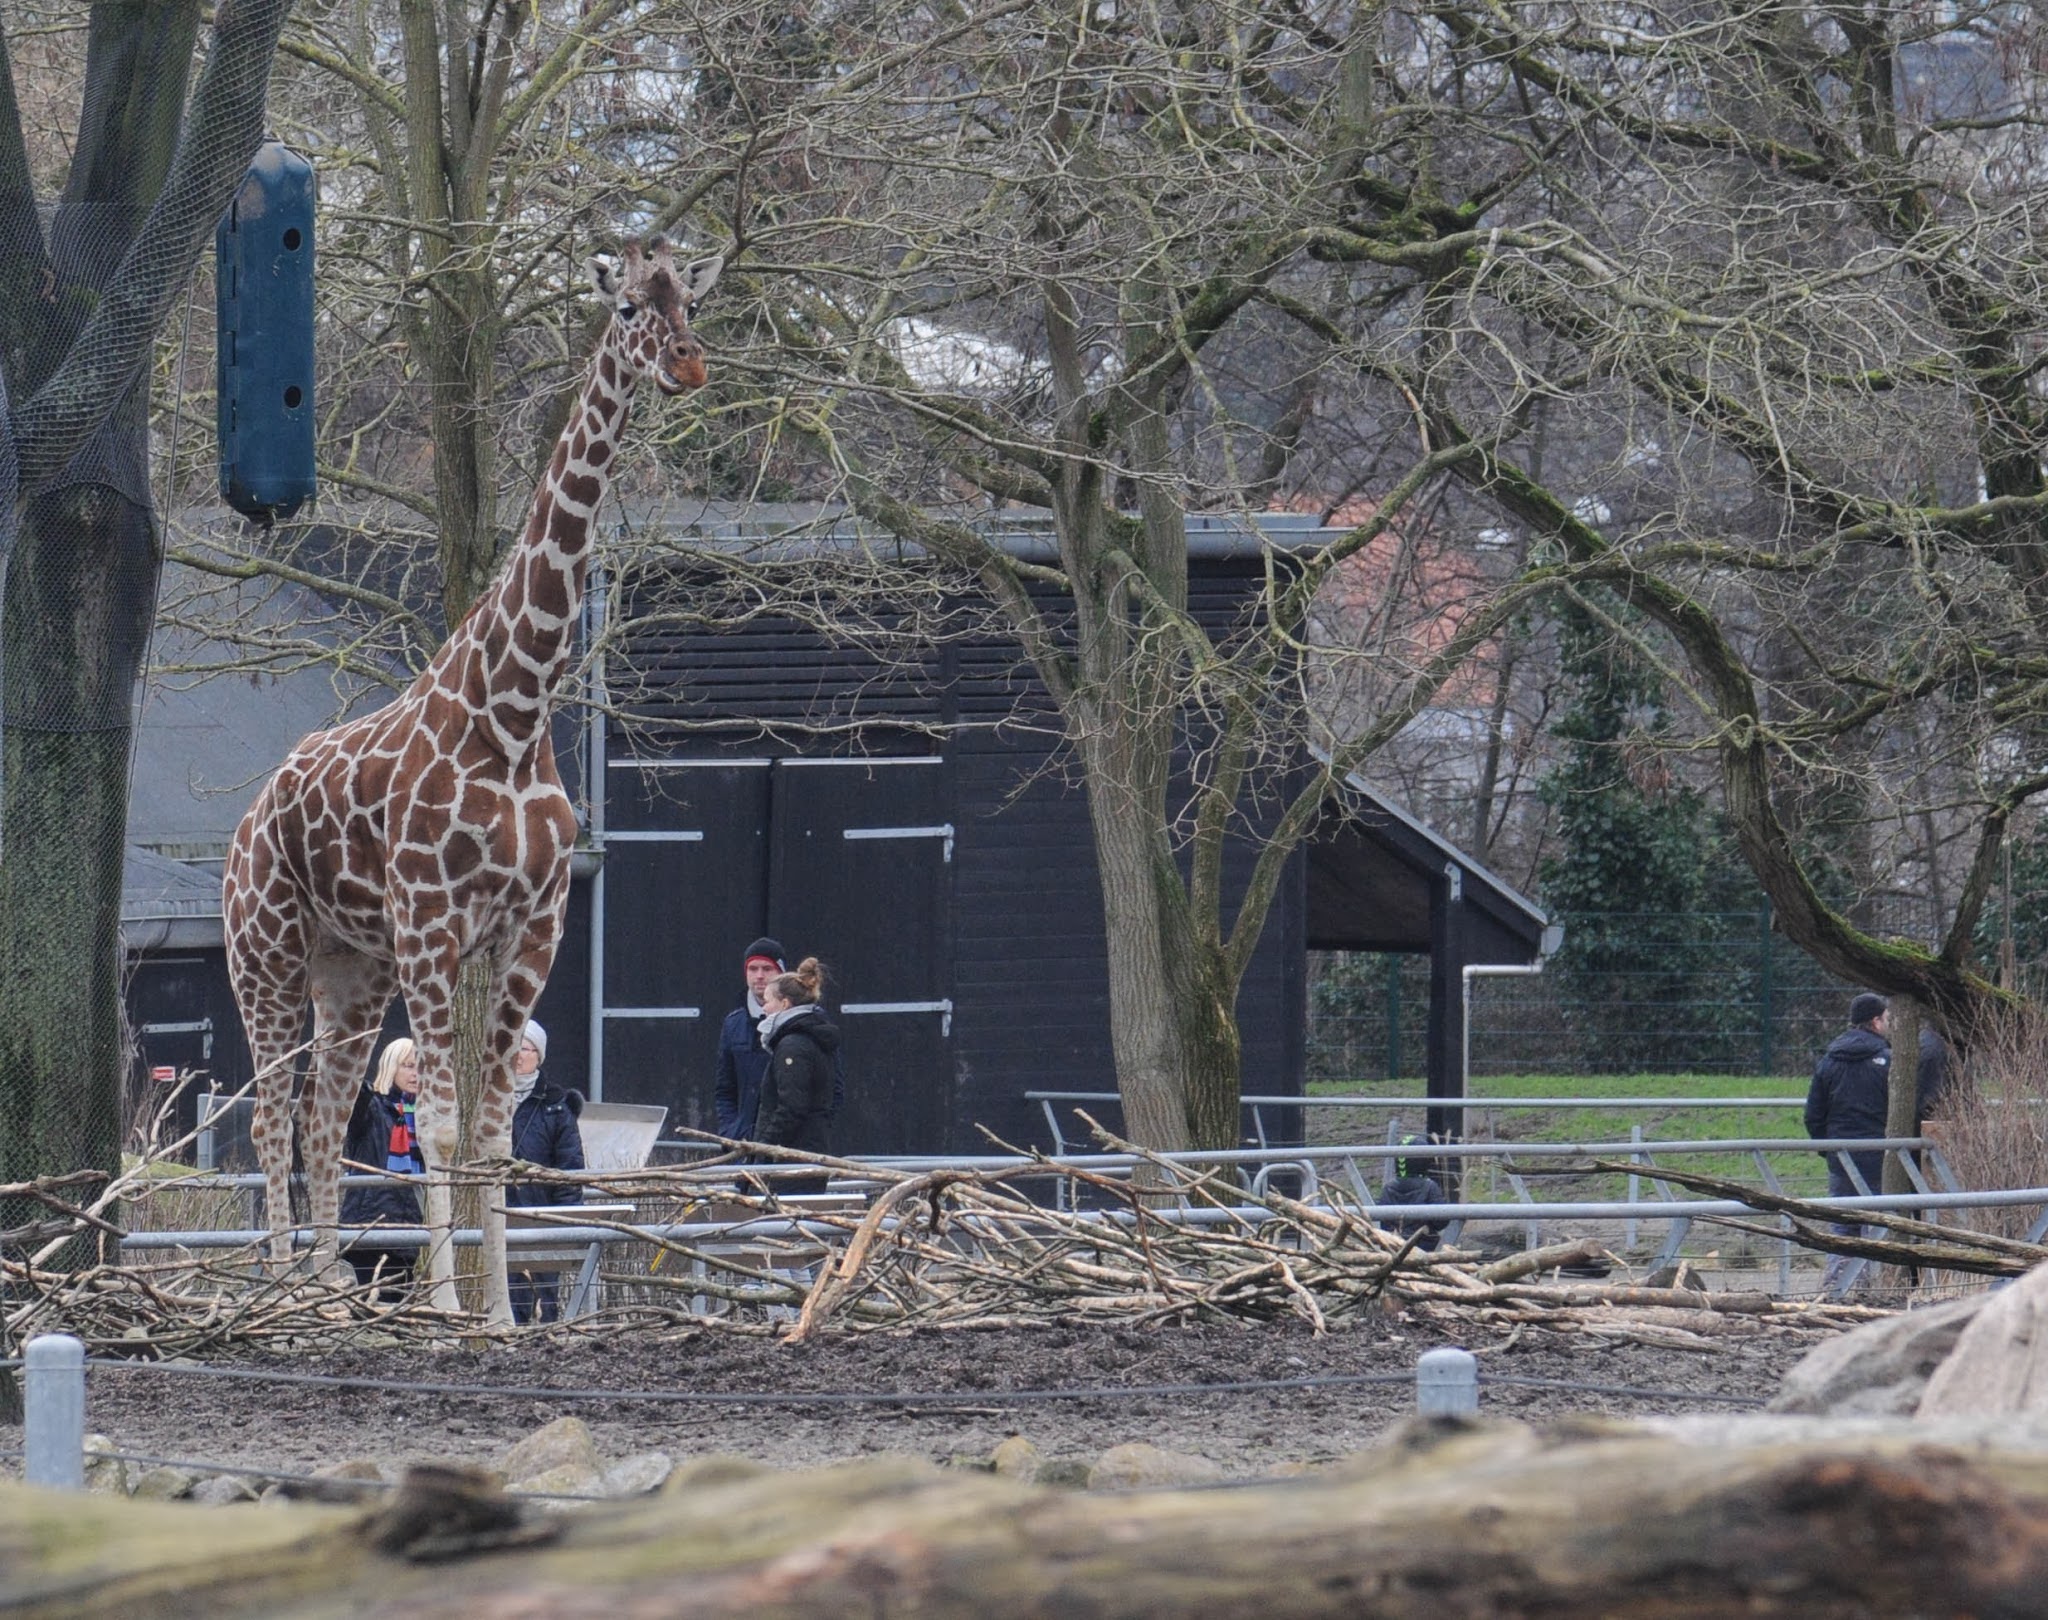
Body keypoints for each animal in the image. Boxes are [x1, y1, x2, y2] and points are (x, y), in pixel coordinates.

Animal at [223, 237, 723, 1326]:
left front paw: (495, 1315)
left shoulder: (530, 927)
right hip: (265, 955)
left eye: (689, 303)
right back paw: (280, 1292)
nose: (688, 365)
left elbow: (492, 1130)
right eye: (627, 307)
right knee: (269, 1117)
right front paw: (449, 1312)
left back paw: (329, 1291)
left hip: (349, 970)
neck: (514, 712)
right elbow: (443, 1128)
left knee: (321, 1115)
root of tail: (243, 825)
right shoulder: (433, 922)